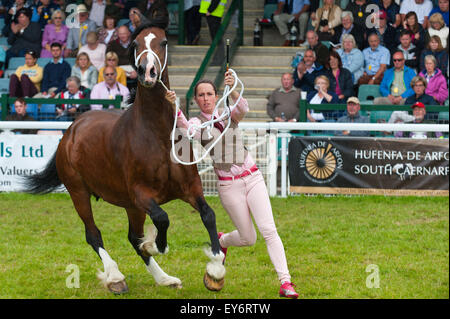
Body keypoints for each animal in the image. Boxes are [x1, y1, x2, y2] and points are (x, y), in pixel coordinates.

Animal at [22, 17, 225, 294]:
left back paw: (165, 279)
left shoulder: (191, 188)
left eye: (163, 41)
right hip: (80, 193)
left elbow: (208, 215)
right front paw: (154, 244)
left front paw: (215, 269)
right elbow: (162, 220)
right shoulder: (142, 194)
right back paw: (116, 277)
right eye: (135, 44)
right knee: (94, 234)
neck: (158, 135)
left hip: (130, 206)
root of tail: (72, 129)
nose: (147, 72)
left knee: (131, 236)